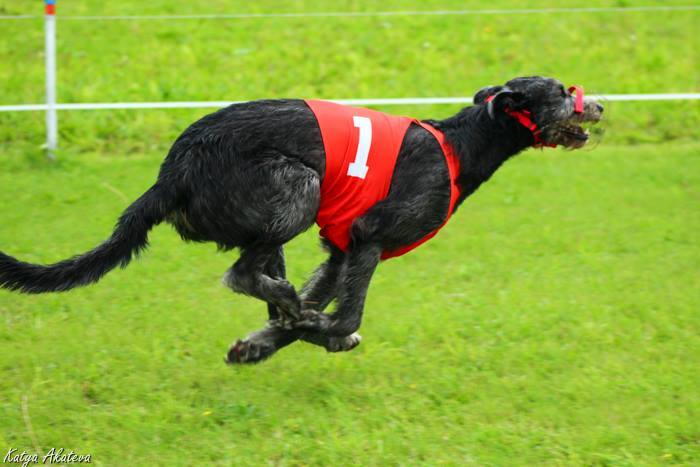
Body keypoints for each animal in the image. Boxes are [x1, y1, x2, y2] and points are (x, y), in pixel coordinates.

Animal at [0, 75, 600, 364]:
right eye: (562, 91)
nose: (598, 105)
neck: (460, 146)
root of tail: (174, 168)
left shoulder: (340, 251)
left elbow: (310, 308)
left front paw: (261, 346)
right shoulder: (368, 237)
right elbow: (344, 315)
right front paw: (321, 331)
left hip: (276, 221)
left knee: (265, 283)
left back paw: (287, 313)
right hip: (296, 188)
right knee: (243, 274)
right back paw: (291, 307)